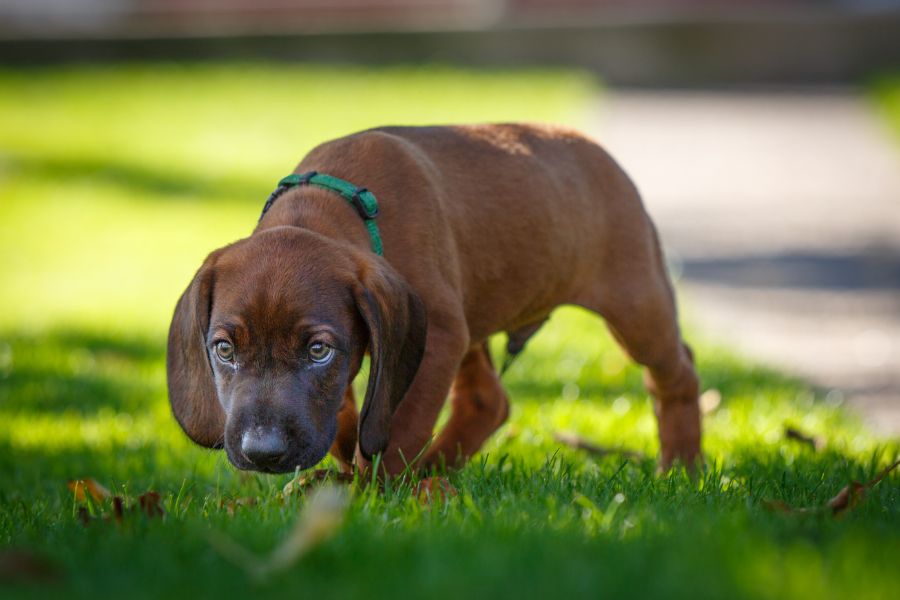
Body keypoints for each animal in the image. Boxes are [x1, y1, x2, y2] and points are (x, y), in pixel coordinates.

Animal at [169, 124, 704, 476]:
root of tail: (599, 152)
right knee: (488, 401)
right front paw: (350, 457)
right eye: (224, 350)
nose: (263, 454)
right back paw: (435, 472)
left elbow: (398, 427)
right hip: (471, 313)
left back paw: (681, 467)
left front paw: (373, 496)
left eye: (318, 350)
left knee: (677, 373)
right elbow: (347, 413)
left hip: (637, 306)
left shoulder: (434, 339)